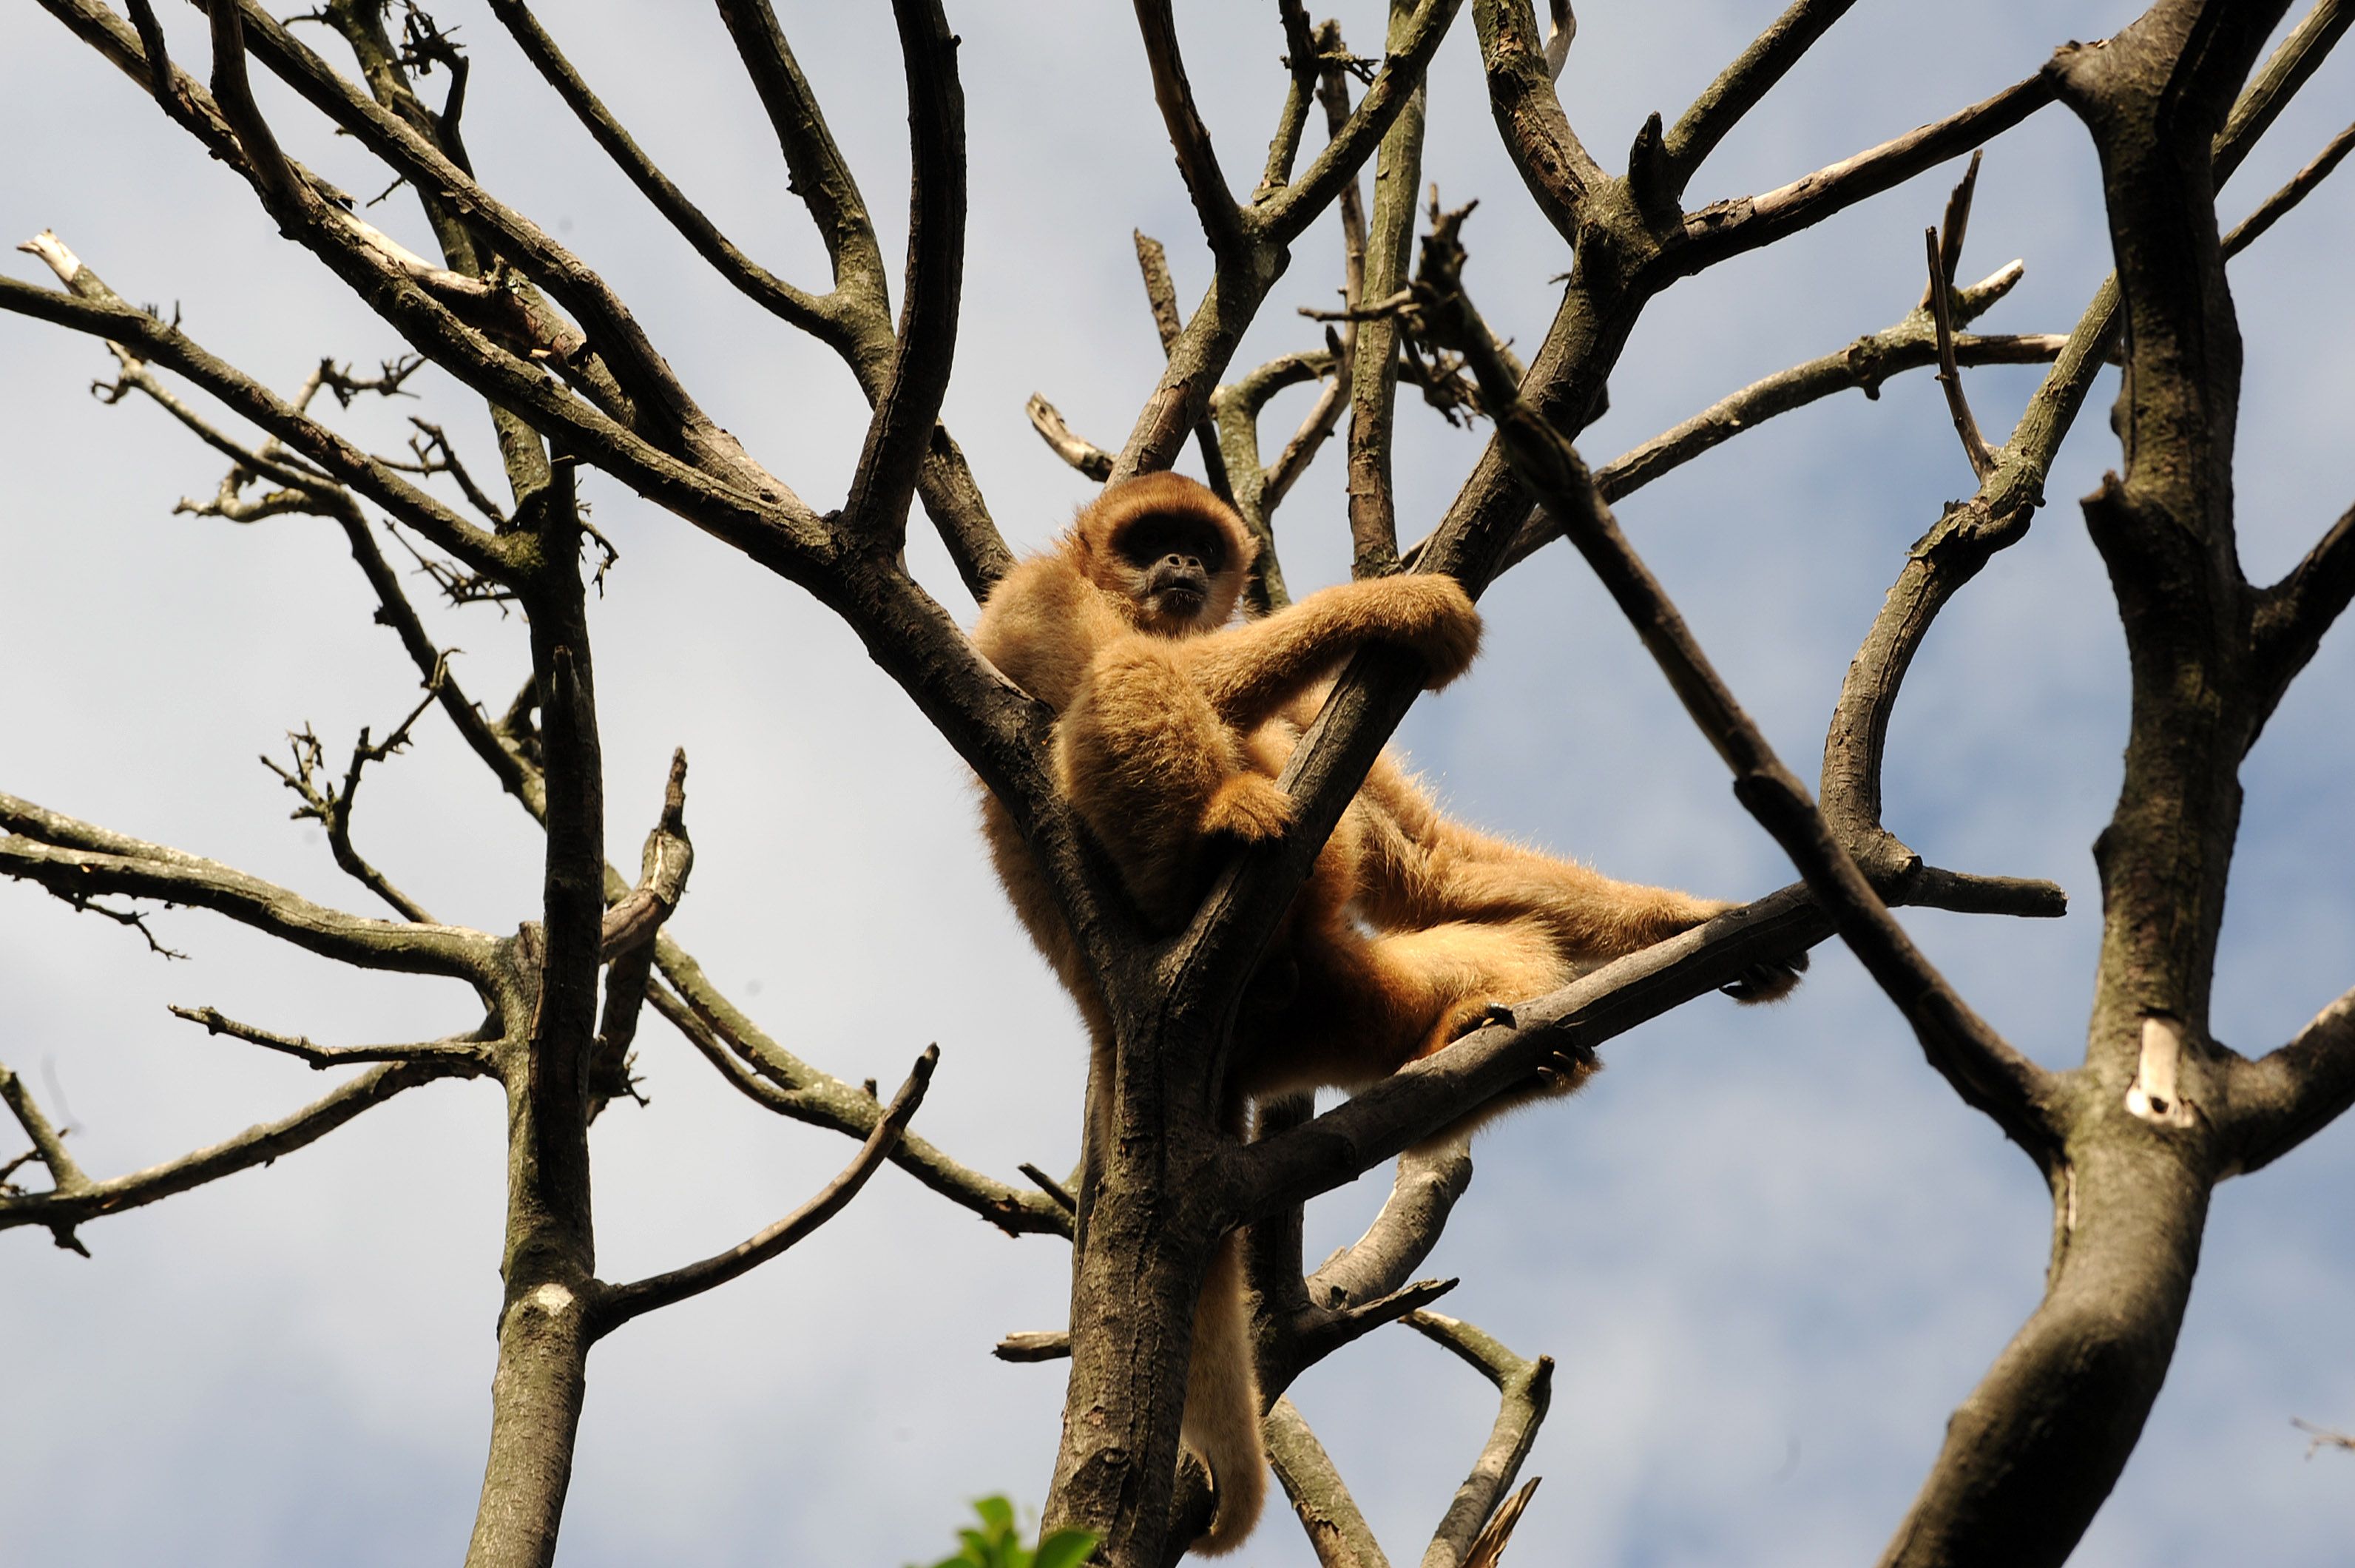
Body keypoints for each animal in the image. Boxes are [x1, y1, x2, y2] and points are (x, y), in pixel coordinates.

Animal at [972, 472, 1800, 1554]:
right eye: (1150, 540)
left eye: (1199, 545)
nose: (1181, 566)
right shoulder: (1026, 594)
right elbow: (1096, 667)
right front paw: (1384, 604)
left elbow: (1433, 868)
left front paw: (1700, 921)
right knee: (1127, 669)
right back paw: (1217, 832)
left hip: (1333, 1002)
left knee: (1474, 919)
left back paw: (1484, 1046)